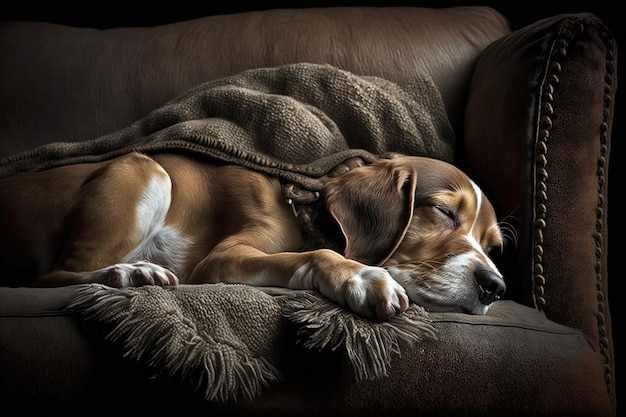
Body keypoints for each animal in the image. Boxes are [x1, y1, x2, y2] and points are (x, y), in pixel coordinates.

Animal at [0, 152, 504, 318]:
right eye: (442, 211)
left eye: (493, 246)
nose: (495, 287)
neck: (305, 210)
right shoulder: (221, 258)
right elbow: (314, 256)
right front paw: (361, 276)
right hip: (141, 168)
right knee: (50, 278)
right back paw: (130, 273)